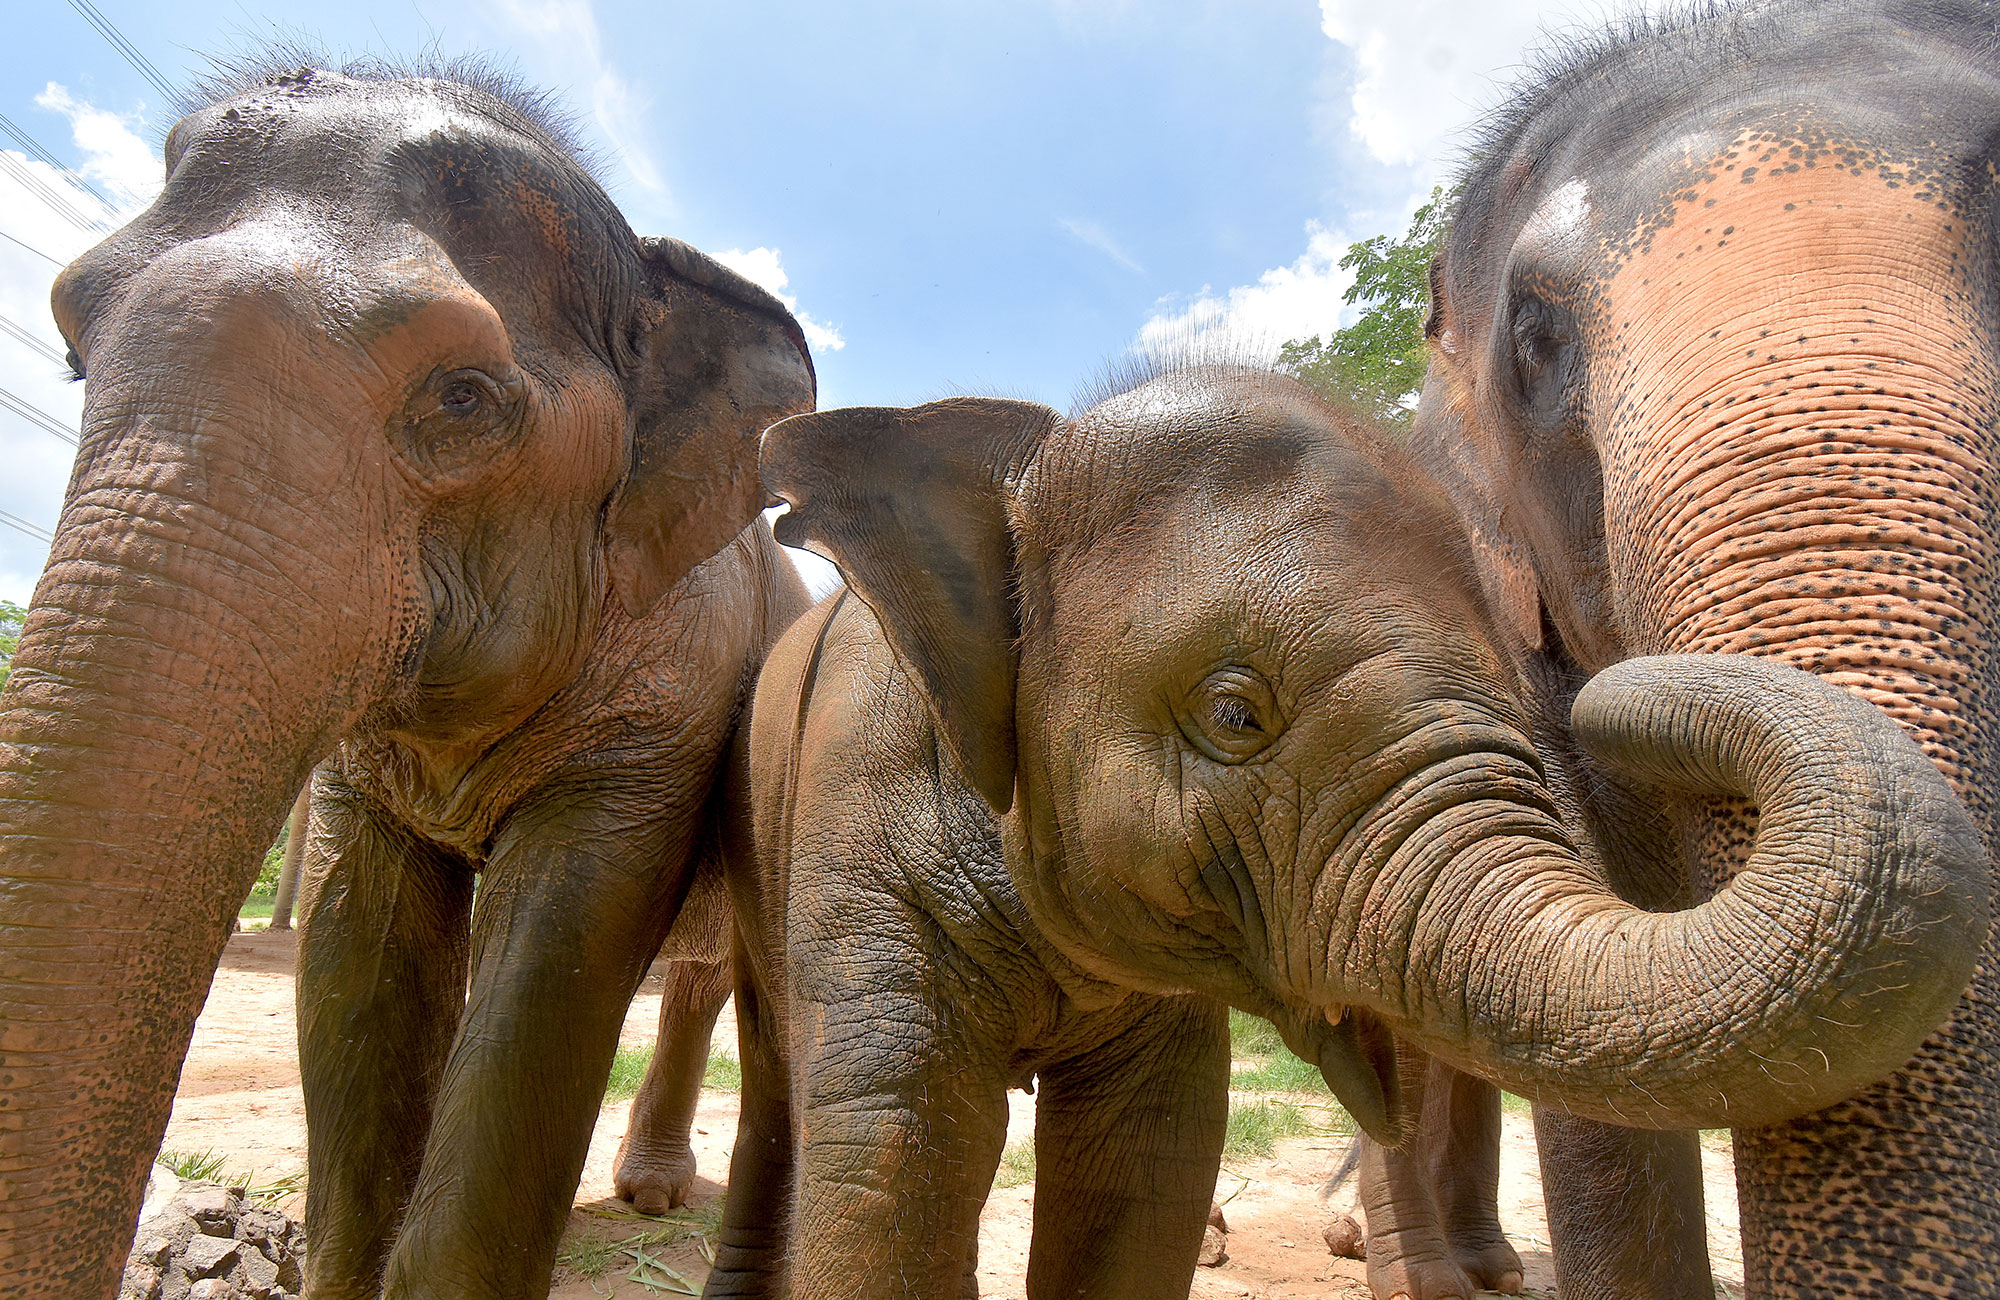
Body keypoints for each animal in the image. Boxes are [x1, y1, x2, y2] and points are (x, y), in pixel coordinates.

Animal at [0, 58, 814, 1300]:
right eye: (72, 352)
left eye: (464, 396)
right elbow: (357, 954)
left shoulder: (668, 698)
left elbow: (554, 959)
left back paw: (660, 1195)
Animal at [704, 365, 1985, 1300]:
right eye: (1234, 714)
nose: (1598, 681)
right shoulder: (860, 832)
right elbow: (894, 1154)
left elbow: (1144, 1165)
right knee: (776, 1087)